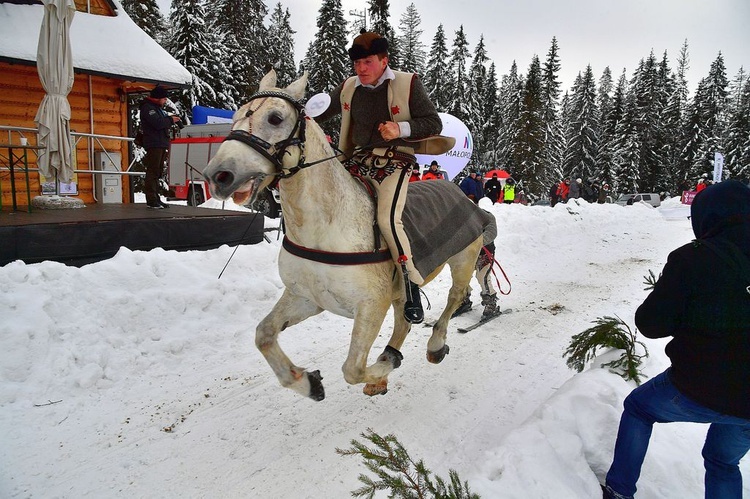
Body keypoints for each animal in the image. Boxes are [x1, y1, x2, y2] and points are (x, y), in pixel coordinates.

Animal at [203, 70, 496, 400]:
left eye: (276, 118)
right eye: (236, 115)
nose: (218, 175)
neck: (324, 227)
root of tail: (460, 192)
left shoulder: (371, 306)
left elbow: (352, 369)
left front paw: (385, 364)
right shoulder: (306, 298)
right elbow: (263, 335)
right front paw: (308, 382)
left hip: (463, 259)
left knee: (454, 296)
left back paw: (433, 346)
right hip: (403, 291)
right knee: (405, 321)